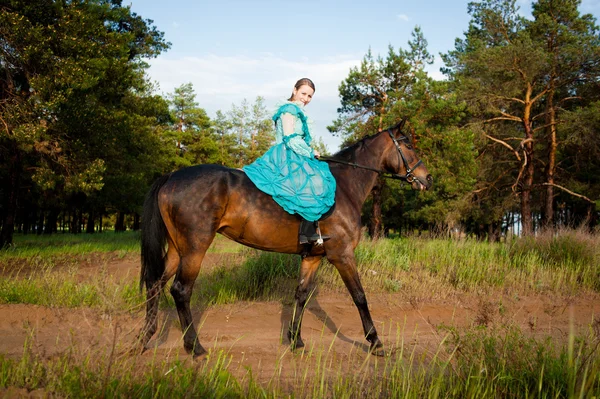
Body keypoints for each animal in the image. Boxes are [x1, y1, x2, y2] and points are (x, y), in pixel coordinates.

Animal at [141, 121, 432, 356]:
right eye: (408, 145)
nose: (427, 178)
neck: (345, 187)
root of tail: (172, 176)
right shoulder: (342, 255)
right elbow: (359, 296)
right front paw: (375, 342)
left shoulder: (313, 258)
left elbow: (301, 295)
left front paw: (296, 340)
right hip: (195, 248)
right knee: (181, 290)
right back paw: (194, 347)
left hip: (177, 248)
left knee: (155, 285)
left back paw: (145, 338)